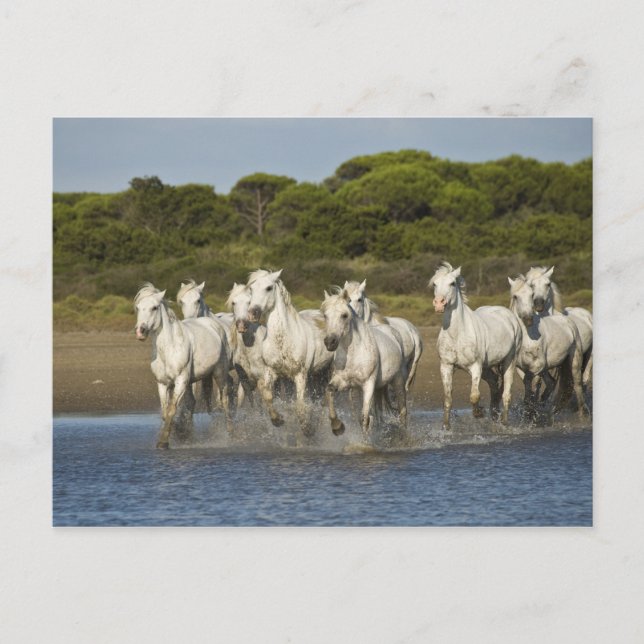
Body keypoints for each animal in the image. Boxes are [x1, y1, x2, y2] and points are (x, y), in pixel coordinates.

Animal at [134, 283, 232, 448]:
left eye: (154, 307)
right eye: (138, 307)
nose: (141, 331)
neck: (169, 348)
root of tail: (215, 325)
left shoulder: (180, 381)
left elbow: (172, 409)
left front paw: (163, 442)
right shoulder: (163, 384)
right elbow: (165, 412)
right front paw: (179, 432)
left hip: (220, 373)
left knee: (225, 401)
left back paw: (231, 432)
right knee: (192, 403)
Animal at [246, 269, 333, 436]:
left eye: (268, 288)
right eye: (251, 289)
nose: (252, 313)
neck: (283, 340)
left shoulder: (300, 375)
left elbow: (300, 406)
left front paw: (307, 429)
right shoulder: (271, 372)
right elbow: (267, 396)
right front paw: (278, 420)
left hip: (327, 371)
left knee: (326, 398)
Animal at [320, 289, 407, 441]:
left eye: (344, 315)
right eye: (325, 315)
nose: (330, 342)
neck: (354, 353)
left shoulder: (368, 384)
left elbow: (364, 418)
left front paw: (364, 442)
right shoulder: (343, 382)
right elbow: (329, 391)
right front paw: (337, 427)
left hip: (398, 380)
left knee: (402, 410)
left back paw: (404, 436)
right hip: (369, 388)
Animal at [429, 262, 522, 430]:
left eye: (452, 283)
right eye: (434, 284)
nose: (439, 303)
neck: (458, 334)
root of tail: (509, 315)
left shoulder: (475, 366)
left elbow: (474, 396)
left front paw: (478, 413)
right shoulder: (446, 366)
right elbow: (447, 399)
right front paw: (446, 427)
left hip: (509, 361)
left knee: (506, 393)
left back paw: (504, 422)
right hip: (487, 367)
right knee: (494, 386)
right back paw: (494, 416)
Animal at [509, 275, 588, 419]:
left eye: (531, 294)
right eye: (515, 296)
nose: (528, 319)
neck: (527, 338)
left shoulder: (537, 365)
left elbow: (531, 382)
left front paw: (531, 409)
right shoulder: (519, 367)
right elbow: (528, 383)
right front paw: (529, 412)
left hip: (574, 360)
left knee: (577, 384)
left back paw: (582, 415)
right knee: (551, 382)